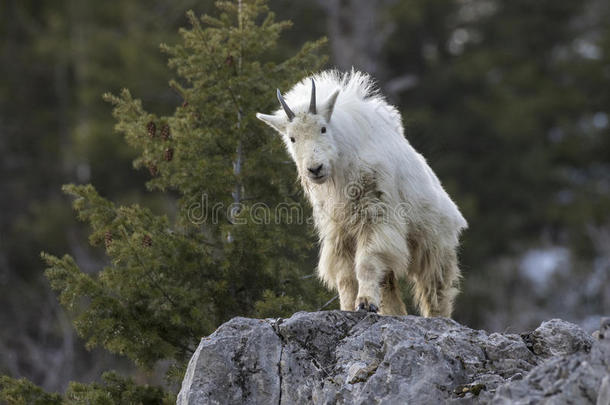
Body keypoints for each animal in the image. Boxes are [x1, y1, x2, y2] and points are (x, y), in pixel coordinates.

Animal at [255, 70, 466, 316]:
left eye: (323, 128)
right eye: (292, 138)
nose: (315, 169)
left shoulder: (376, 214)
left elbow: (367, 261)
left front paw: (365, 303)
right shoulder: (339, 229)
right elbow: (345, 275)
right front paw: (348, 308)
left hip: (434, 244)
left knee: (436, 290)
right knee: (389, 285)